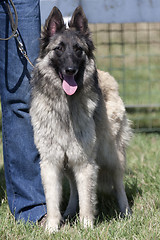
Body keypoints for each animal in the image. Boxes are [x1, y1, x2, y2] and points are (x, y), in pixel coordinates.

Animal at [29, 6, 132, 233]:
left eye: (78, 50)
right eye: (59, 49)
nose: (70, 70)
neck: (65, 105)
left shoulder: (85, 162)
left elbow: (87, 197)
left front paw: (86, 226)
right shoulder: (52, 162)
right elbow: (53, 200)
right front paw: (52, 227)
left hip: (111, 154)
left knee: (118, 182)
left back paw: (125, 212)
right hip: (69, 163)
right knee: (74, 188)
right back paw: (68, 212)